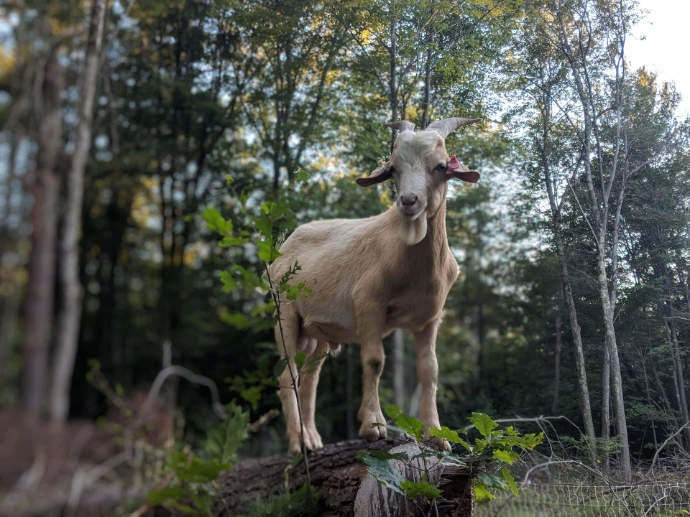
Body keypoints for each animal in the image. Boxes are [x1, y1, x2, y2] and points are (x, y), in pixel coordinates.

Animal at [270, 117, 481, 454]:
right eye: (393, 169)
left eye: (439, 167)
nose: (408, 201)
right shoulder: (368, 303)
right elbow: (374, 361)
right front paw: (373, 426)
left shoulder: (430, 318)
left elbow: (430, 371)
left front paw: (437, 435)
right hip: (284, 313)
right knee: (287, 373)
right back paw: (298, 443)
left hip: (317, 334)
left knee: (310, 377)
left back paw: (313, 439)